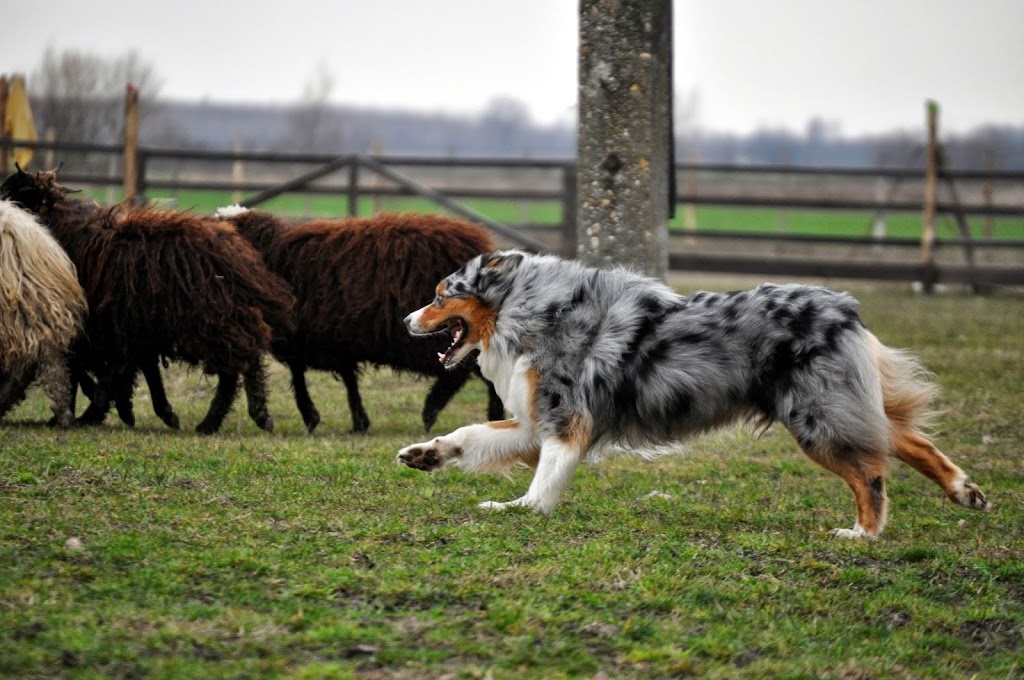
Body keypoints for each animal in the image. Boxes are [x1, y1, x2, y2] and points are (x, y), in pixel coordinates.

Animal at [215, 206, 504, 433]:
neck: (277, 258)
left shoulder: (317, 336)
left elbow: (311, 374)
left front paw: (316, 416)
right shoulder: (331, 339)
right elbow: (343, 379)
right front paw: (355, 421)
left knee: (462, 372)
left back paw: (432, 411)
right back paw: (490, 414)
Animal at [397, 251, 990, 538]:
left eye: (440, 295)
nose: (404, 321)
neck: (527, 308)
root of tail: (844, 307)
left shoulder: (565, 420)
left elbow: (546, 478)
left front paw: (522, 508)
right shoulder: (533, 422)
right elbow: (472, 433)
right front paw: (426, 454)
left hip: (817, 417)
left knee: (871, 473)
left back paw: (864, 533)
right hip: (843, 405)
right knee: (906, 441)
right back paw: (965, 491)